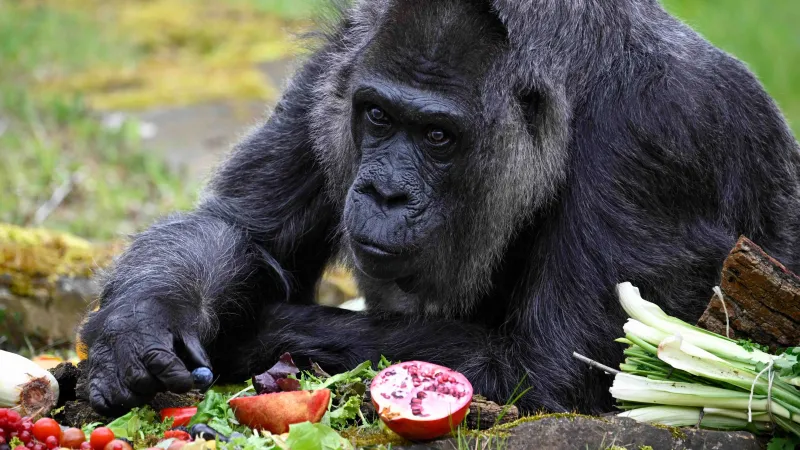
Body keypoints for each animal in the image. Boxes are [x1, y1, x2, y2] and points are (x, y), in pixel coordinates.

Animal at [79, 0, 800, 416]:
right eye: (377, 115)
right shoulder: (338, 59)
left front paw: (257, 334)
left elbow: (545, 375)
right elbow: (237, 232)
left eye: (436, 136)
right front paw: (146, 313)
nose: (385, 194)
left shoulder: (659, 134)